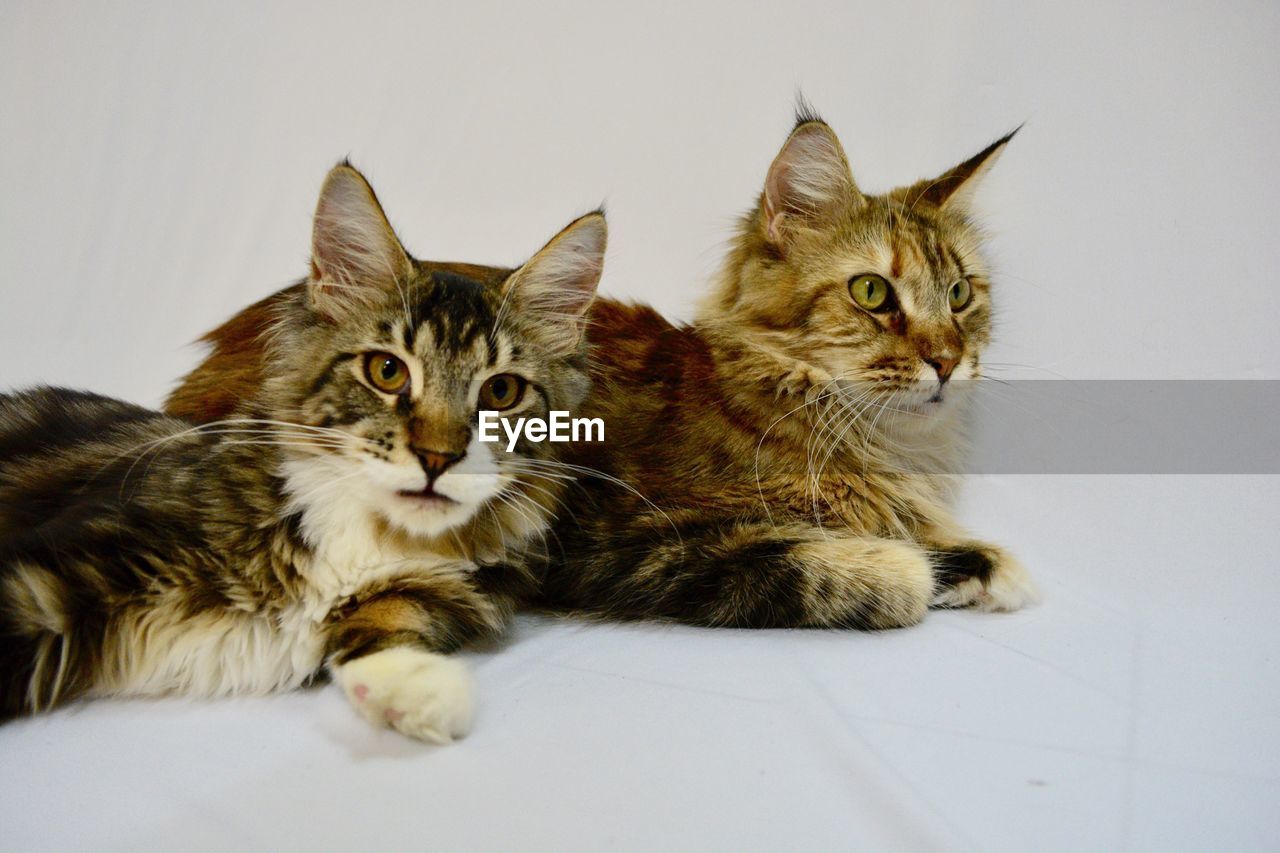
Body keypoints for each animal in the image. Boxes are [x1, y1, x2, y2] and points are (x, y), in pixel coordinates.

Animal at [0, 161, 606, 737]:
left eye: (501, 392)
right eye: (387, 371)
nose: (437, 457)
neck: (364, 535)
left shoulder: (427, 593)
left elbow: (392, 620)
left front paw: (418, 686)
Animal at [170, 109, 1034, 627]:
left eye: (960, 294)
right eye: (872, 293)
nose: (948, 361)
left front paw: (984, 565)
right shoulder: (619, 533)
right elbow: (820, 558)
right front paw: (928, 572)